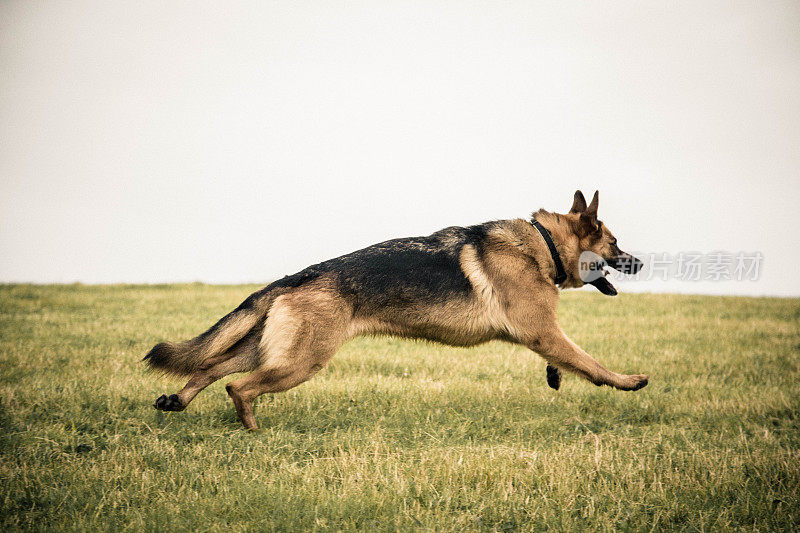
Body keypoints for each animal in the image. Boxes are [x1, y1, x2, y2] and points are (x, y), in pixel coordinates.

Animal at [145, 190, 644, 428]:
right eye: (615, 243)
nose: (640, 263)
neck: (543, 243)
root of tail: (295, 277)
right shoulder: (542, 330)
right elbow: (590, 362)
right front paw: (626, 382)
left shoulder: (539, 334)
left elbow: (566, 359)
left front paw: (556, 375)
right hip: (301, 362)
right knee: (239, 387)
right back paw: (250, 428)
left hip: (268, 351)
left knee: (211, 367)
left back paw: (178, 400)